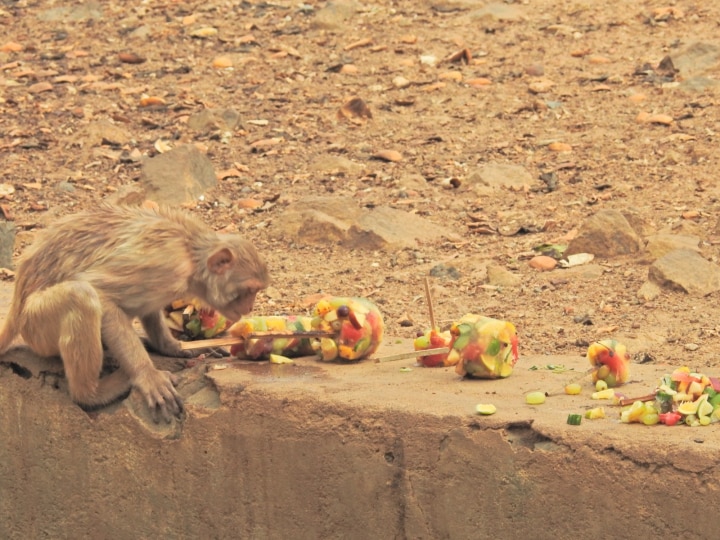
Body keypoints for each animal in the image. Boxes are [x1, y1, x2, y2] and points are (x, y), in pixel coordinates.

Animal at [0, 205, 268, 420]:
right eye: (249, 291)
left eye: (256, 291)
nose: (249, 307)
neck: (192, 257)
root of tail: (16, 306)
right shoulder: (164, 264)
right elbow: (102, 295)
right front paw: (147, 374)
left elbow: (149, 309)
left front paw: (174, 347)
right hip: (35, 326)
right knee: (82, 295)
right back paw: (92, 394)